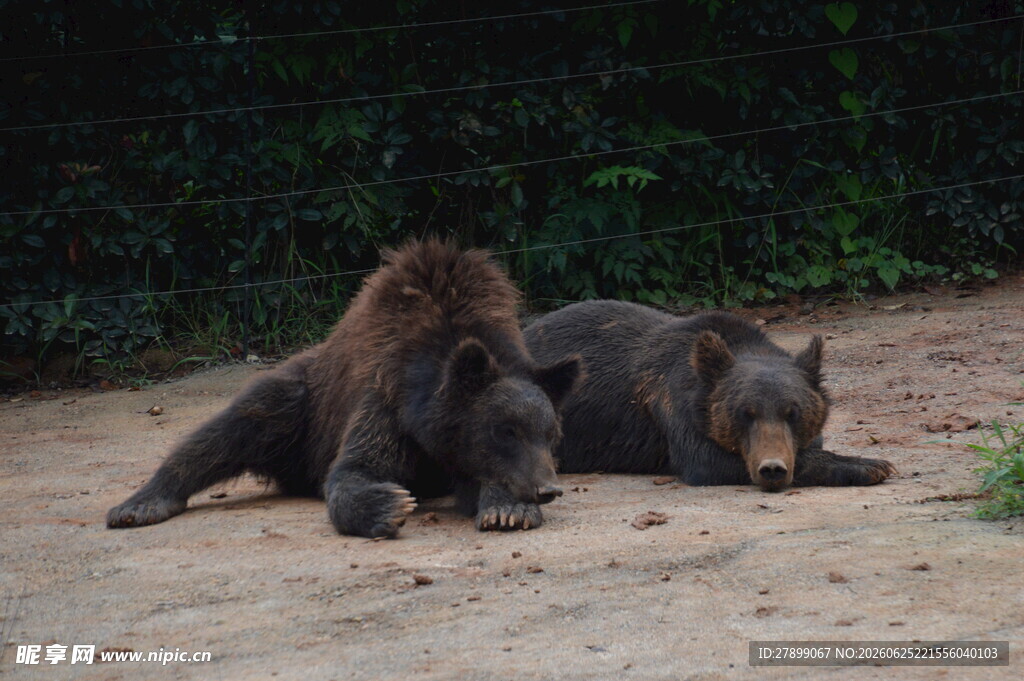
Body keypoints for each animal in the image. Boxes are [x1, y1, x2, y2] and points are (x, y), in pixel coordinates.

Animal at [107, 239, 583, 538]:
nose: (548, 488)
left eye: (550, 433)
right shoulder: (385, 400)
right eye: (506, 430)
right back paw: (139, 504)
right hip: (300, 410)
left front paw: (507, 509)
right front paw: (390, 505)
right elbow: (356, 469)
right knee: (232, 427)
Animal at [523, 300, 895, 491]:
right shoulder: (672, 403)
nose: (772, 469)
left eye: (793, 412)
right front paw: (868, 465)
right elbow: (706, 460)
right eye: (745, 412)